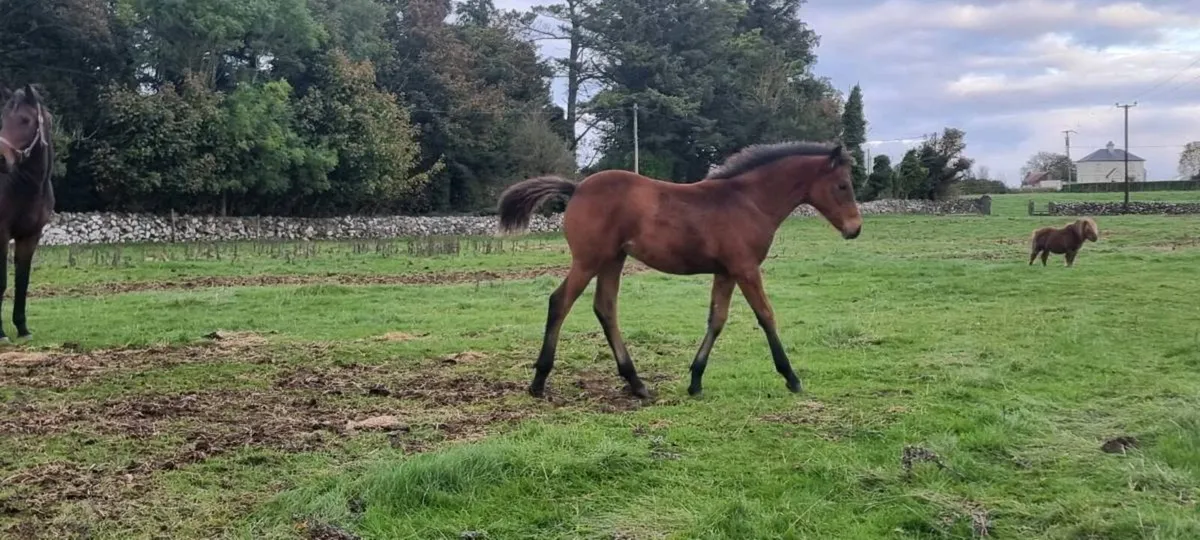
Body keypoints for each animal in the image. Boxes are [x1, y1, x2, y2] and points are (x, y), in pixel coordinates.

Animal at [496, 141, 863, 399]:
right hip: (588, 260)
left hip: (613, 259)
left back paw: (636, 382)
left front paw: (696, 380)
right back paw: (539, 381)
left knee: (605, 307)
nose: (855, 229)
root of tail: (577, 188)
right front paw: (791, 377)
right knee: (560, 302)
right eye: (843, 185)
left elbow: (717, 319)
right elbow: (766, 315)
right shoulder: (745, 269)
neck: (748, 201)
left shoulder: (726, 272)